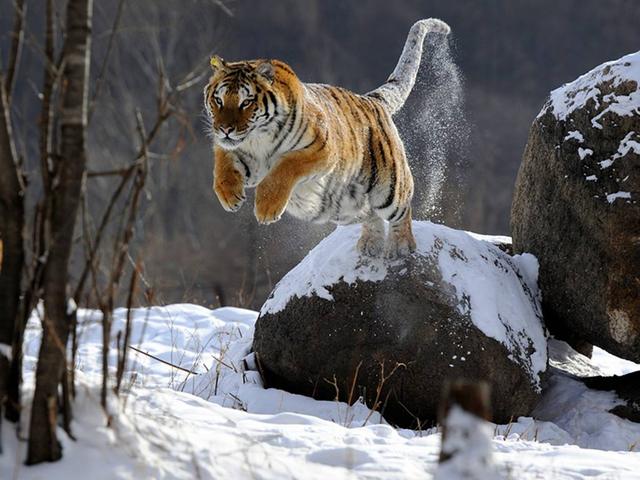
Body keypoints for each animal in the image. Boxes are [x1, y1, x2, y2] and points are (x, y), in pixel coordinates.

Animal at [204, 18, 451, 258]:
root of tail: (373, 100)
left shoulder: (322, 149)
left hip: (389, 188)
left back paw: (400, 246)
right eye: (218, 100)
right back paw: (370, 244)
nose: (225, 129)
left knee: (401, 210)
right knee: (369, 214)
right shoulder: (239, 154)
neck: (257, 140)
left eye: (246, 102)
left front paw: (266, 208)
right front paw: (230, 196)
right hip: (345, 207)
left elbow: (284, 168)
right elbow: (222, 165)